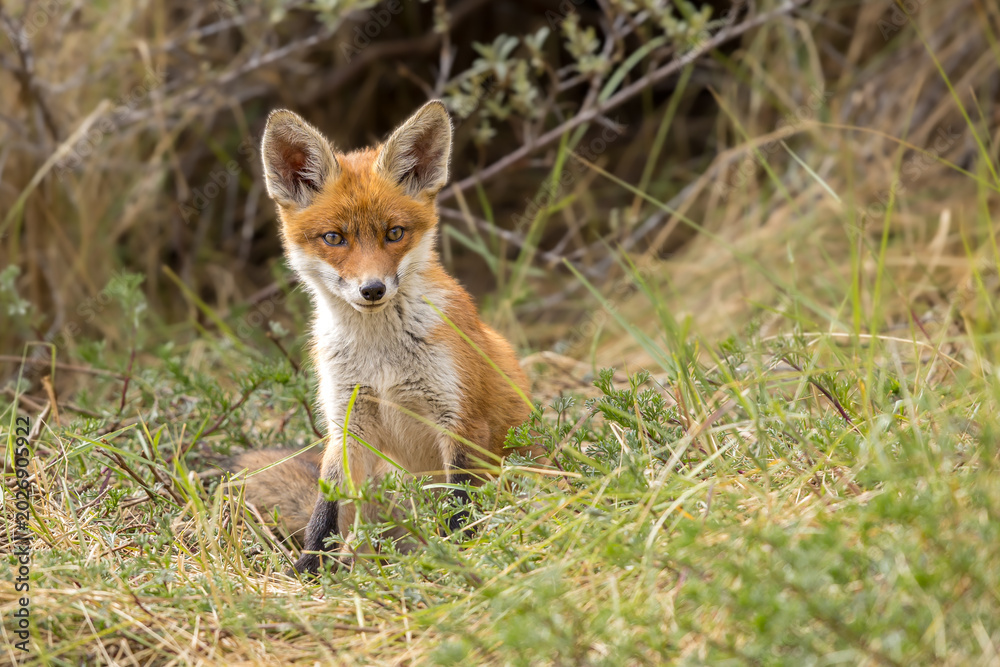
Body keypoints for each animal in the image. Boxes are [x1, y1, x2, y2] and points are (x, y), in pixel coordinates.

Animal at [230, 101, 534, 575]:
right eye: (334, 238)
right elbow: (325, 507)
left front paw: (458, 555)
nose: (372, 289)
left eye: (394, 233)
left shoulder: (461, 419)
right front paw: (309, 569)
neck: (382, 360)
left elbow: (459, 504)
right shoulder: (347, 420)